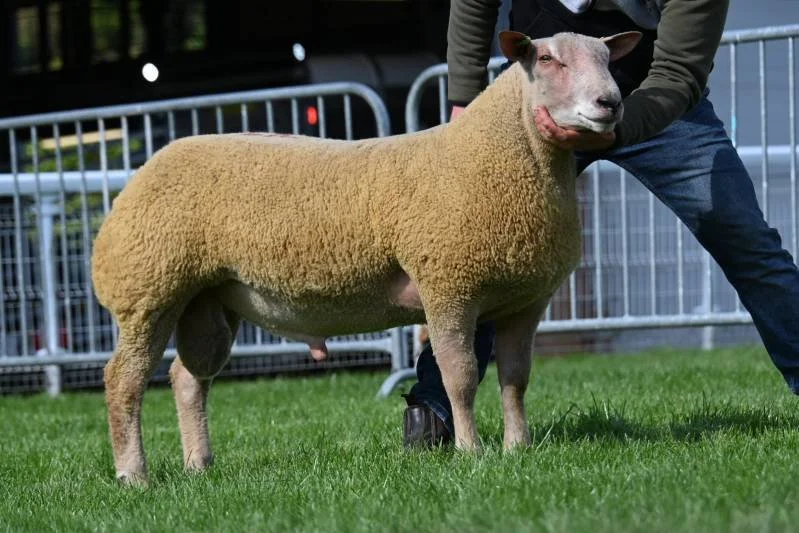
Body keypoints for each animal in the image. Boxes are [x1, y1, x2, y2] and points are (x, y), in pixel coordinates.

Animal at [91, 29, 642, 485]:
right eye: (547, 59)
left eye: (606, 60)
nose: (610, 103)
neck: (495, 156)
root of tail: (146, 167)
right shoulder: (448, 285)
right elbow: (460, 376)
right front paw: (471, 452)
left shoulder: (524, 301)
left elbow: (515, 379)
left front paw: (517, 449)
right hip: (149, 290)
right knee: (123, 382)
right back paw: (134, 475)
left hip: (208, 300)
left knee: (188, 380)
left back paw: (198, 465)